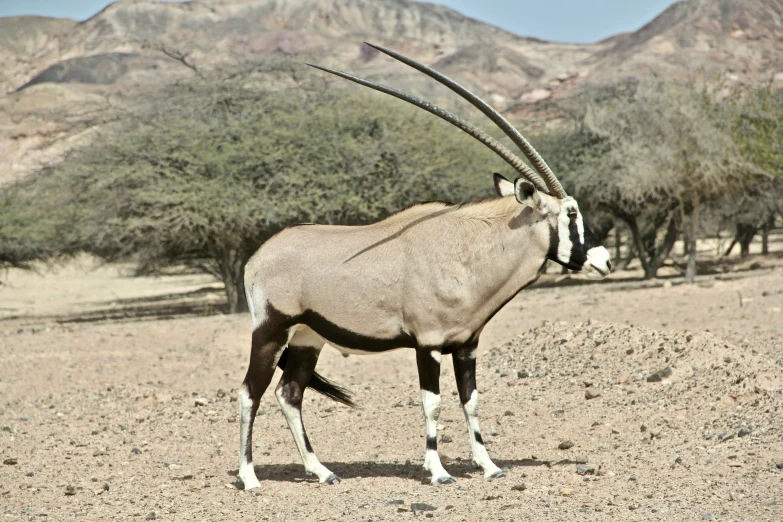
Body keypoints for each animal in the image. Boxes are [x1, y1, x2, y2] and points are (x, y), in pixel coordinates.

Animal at [236, 41, 616, 488]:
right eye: (571, 213)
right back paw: (249, 477)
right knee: (250, 393)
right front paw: (438, 471)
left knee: (289, 393)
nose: (605, 259)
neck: (469, 250)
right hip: (271, 331)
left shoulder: (466, 345)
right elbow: (432, 403)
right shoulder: (428, 344)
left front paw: (489, 466)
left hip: (307, 338)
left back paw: (322, 471)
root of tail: (257, 257)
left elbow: (471, 401)